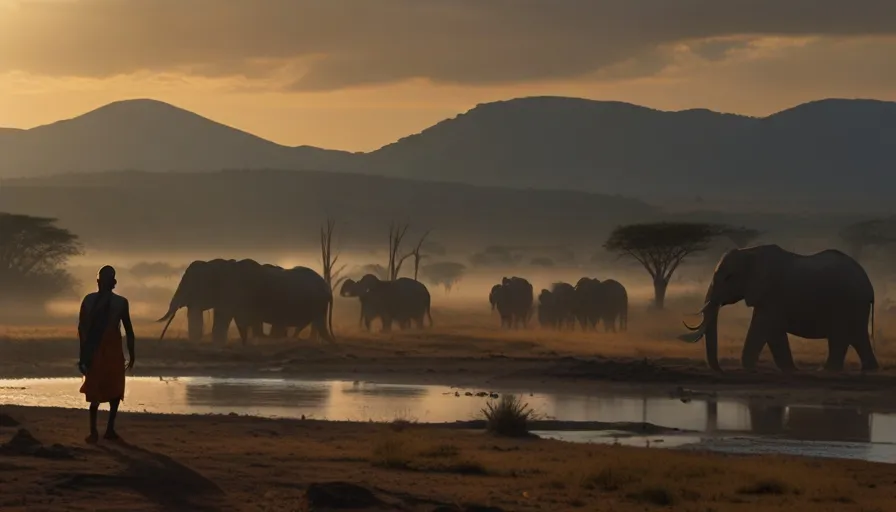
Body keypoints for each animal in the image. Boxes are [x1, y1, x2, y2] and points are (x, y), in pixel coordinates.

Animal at [680, 244, 876, 372]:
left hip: (847, 302)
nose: (721, 370)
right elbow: (773, 332)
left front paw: (749, 367)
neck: (750, 252)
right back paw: (869, 369)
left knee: (840, 336)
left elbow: (765, 328)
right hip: (855, 304)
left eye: (729, 277)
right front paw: (789, 370)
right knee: (857, 336)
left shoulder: (772, 293)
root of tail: (869, 285)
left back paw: (826, 371)